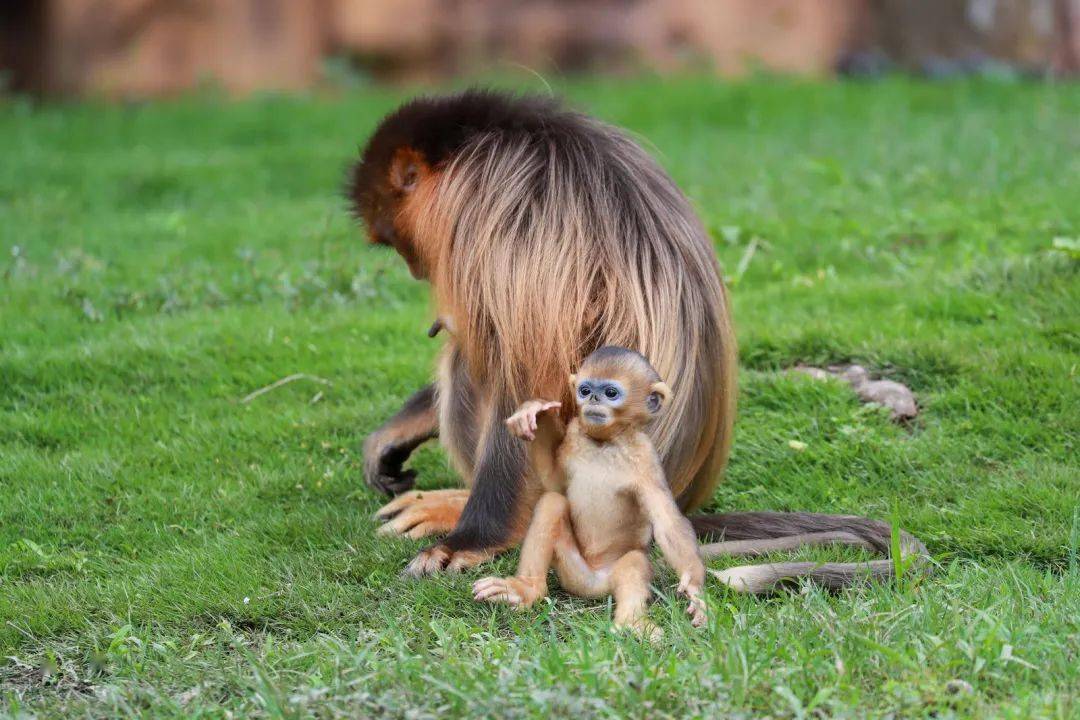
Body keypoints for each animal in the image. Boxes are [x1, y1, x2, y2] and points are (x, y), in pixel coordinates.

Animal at [347, 90, 928, 587]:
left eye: (397, 242)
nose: (417, 270)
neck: (486, 143)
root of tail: (673, 501)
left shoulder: (493, 217)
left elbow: (523, 377)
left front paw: (469, 542)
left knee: (472, 357)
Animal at [475, 345, 708, 634]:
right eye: (585, 390)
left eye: (610, 393)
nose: (593, 399)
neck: (603, 445)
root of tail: (593, 585)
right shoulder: (575, 434)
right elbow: (555, 484)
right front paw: (536, 412)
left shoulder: (646, 459)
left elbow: (667, 522)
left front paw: (695, 589)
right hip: (572, 572)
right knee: (552, 502)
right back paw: (525, 589)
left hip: (610, 574)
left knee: (635, 561)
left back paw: (631, 622)